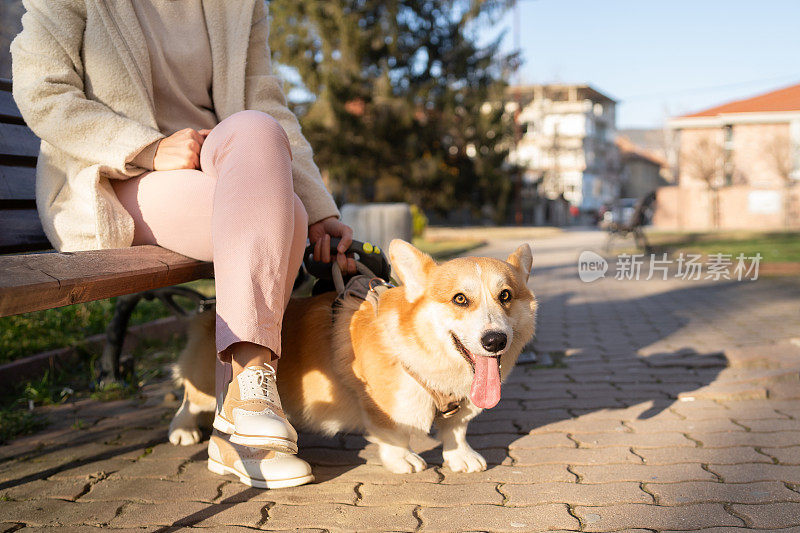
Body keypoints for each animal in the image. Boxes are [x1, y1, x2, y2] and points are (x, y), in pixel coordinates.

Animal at [169, 239, 536, 472]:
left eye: (505, 295)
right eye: (460, 299)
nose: (495, 340)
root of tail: (208, 308)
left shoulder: (461, 408)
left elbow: (455, 430)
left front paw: (461, 457)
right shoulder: (383, 406)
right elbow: (393, 434)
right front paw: (403, 460)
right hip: (207, 383)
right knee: (189, 398)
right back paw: (183, 430)